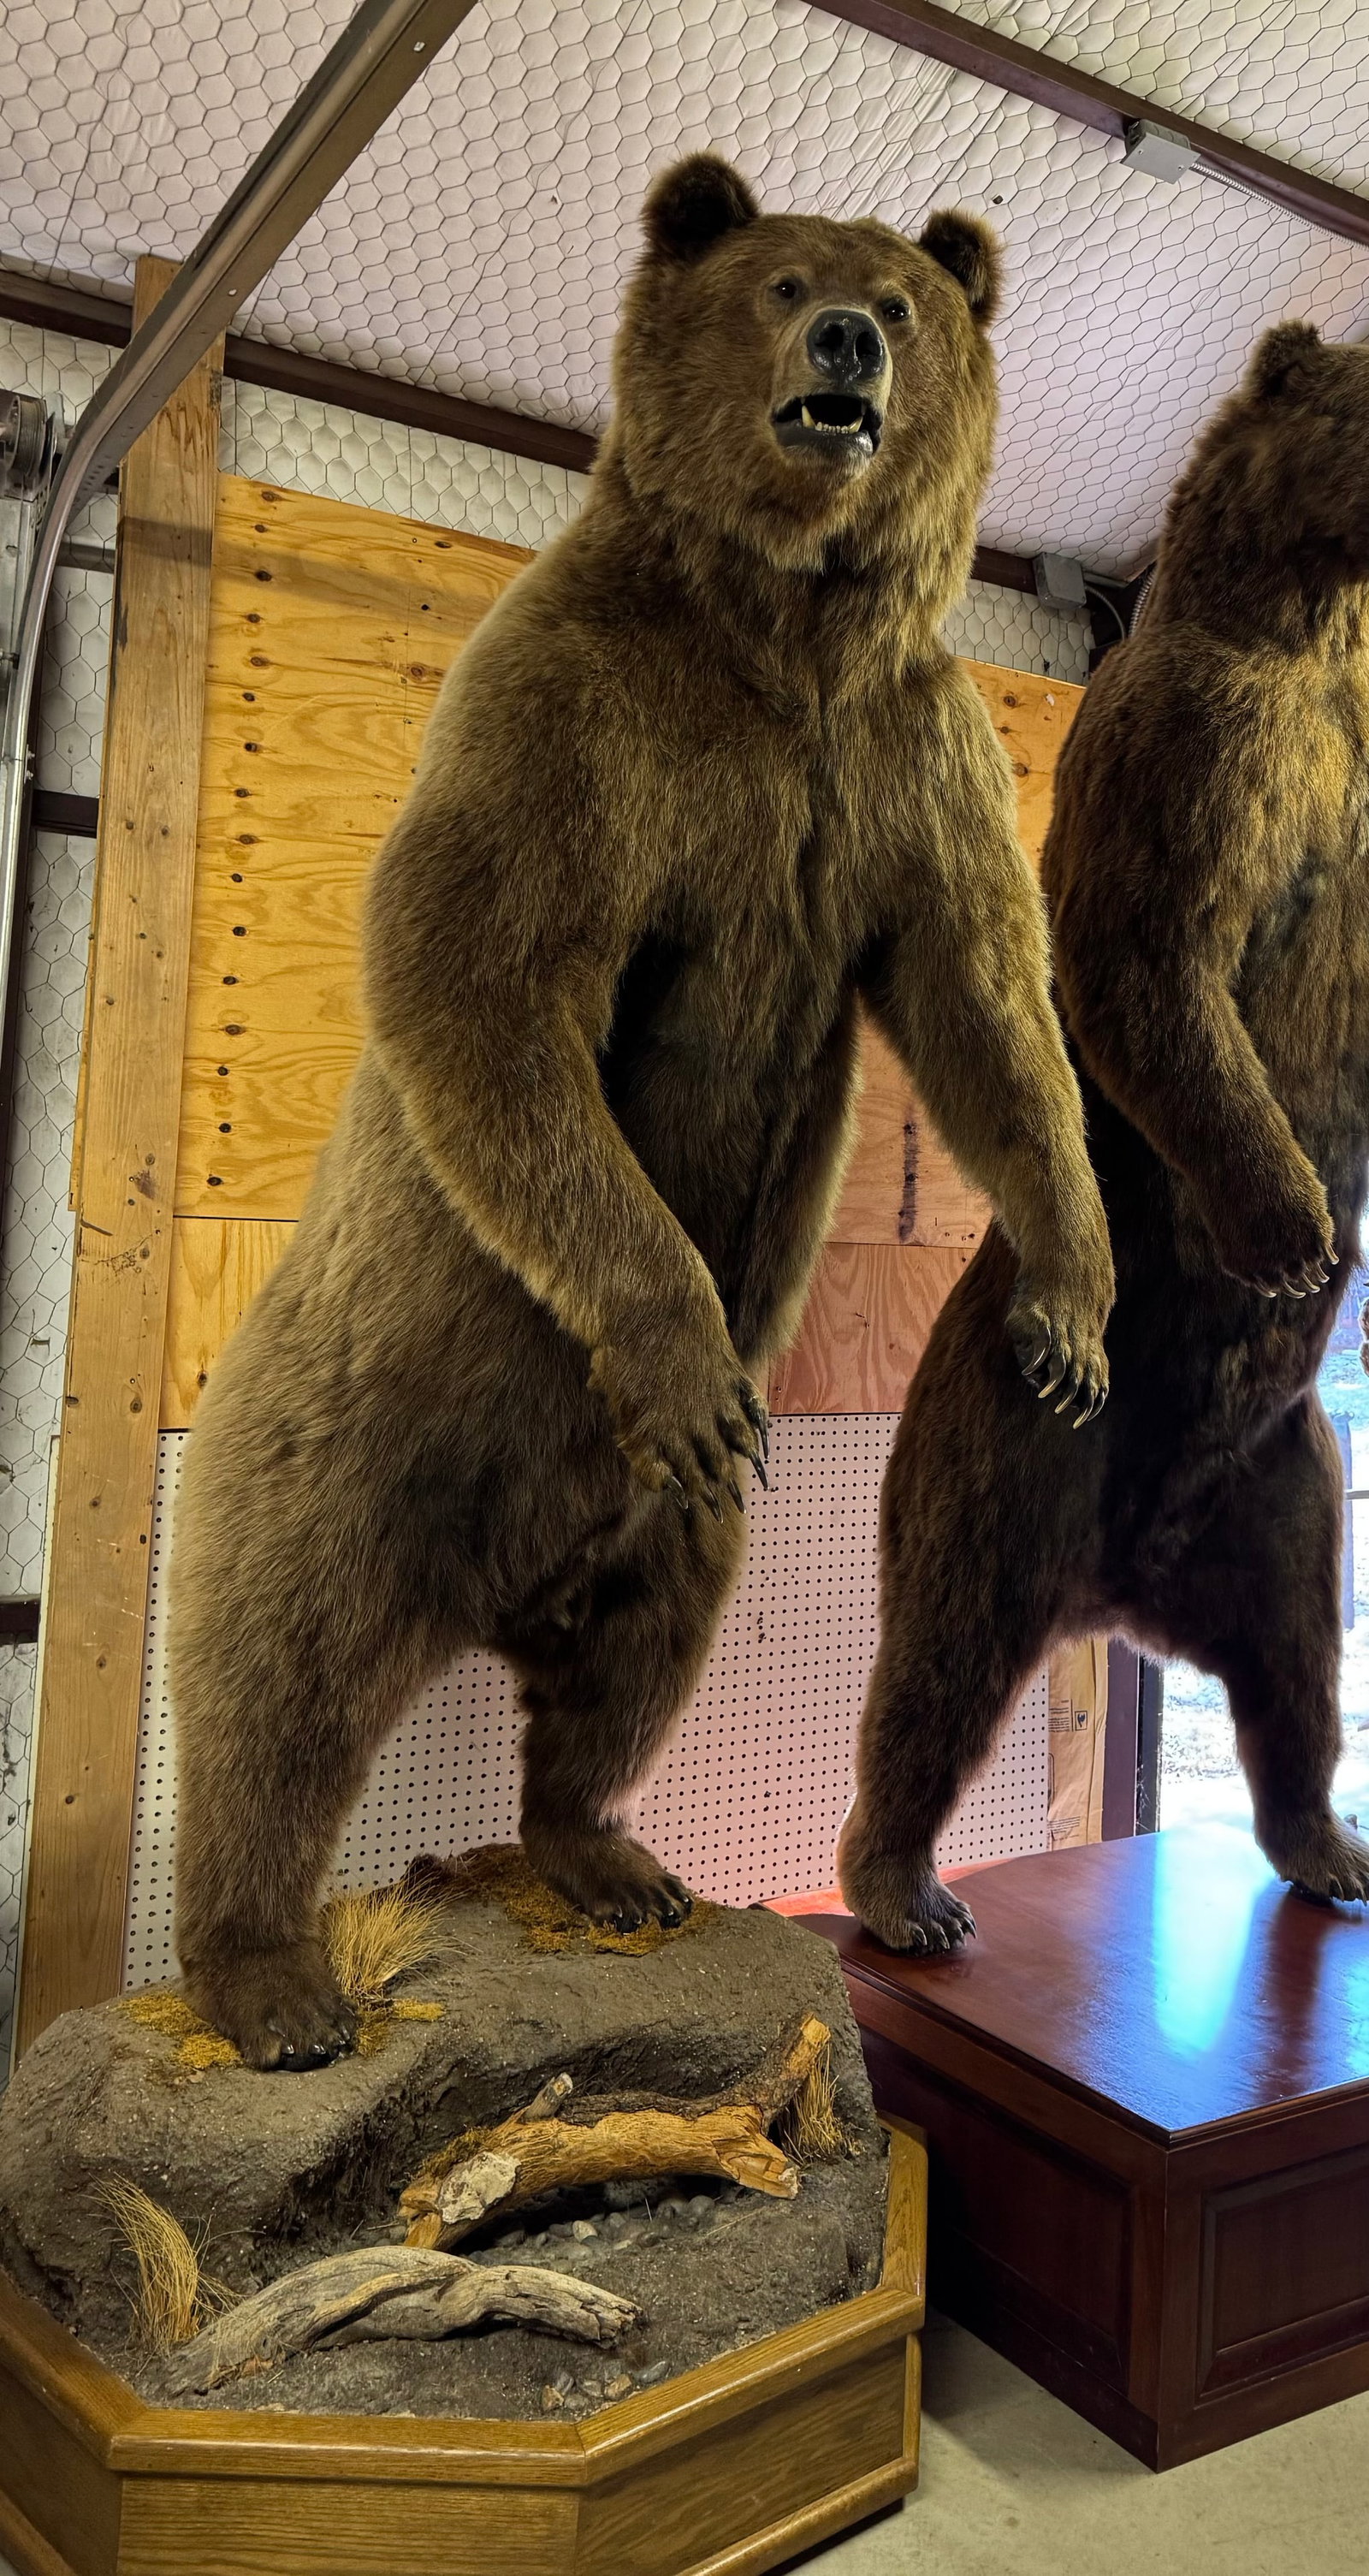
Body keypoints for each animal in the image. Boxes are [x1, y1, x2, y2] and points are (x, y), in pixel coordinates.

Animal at [168, 152, 1115, 2067]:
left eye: (903, 301)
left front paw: (1068, 1318)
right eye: (784, 283)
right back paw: (273, 1979)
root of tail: (496, 1592)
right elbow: (482, 972)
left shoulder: (907, 768)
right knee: (274, 1676)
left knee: (631, 1665)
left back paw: (619, 1858)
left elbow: (988, 1014)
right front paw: (677, 1339)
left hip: (670, 1534)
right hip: (359, 1426)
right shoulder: (580, 713)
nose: (846, 345)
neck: (784, 636)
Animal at [838, 319, 1369, 1955]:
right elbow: (1154, 960)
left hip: (1289, 1481)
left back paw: (1331, 1847)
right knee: (942, 1645)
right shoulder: (1195, 740)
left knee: (1300, 1667)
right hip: (1017, 1437)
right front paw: (1287, 1227)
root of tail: (1126, 1591)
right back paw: (904, 1887)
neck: (1312, 627)